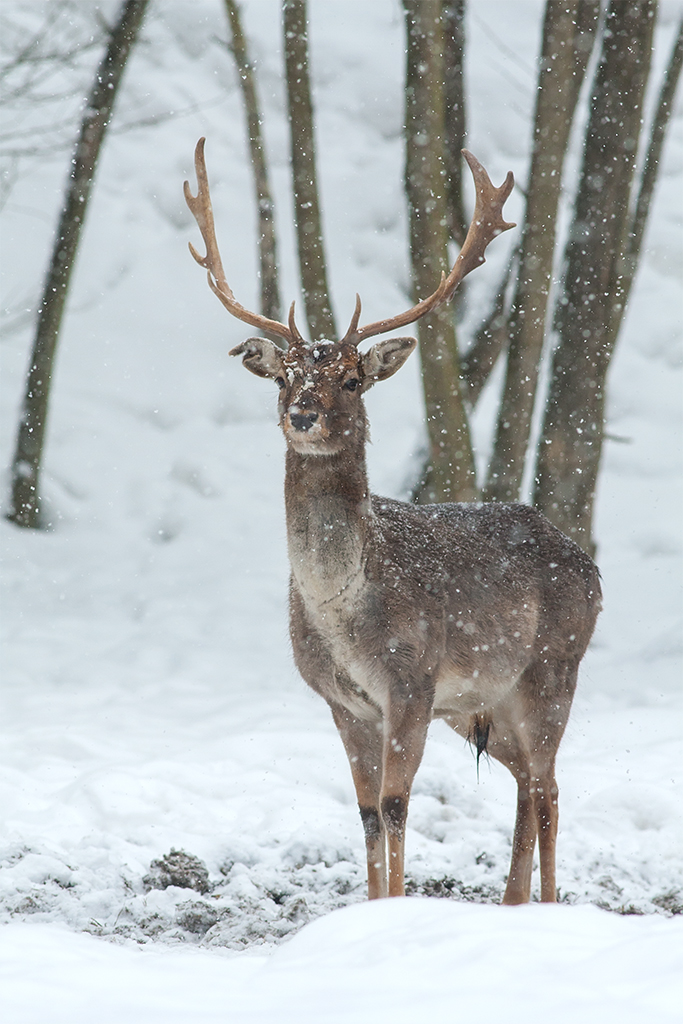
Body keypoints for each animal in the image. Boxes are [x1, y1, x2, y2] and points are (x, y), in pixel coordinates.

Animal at [184, 136, 602, 905]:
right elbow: (366, 811)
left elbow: (398, 803)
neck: (344, 613)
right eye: (285, 375)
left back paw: (548, 904)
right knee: (526, 785)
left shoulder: (412, 680)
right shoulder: (344, 703)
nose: (302, 416)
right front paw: (372, 908)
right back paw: (511, 905)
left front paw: (397, 907)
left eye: (351, 378)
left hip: (553, 668)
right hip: (484, 703)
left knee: (549, 786)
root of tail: (588, 563)